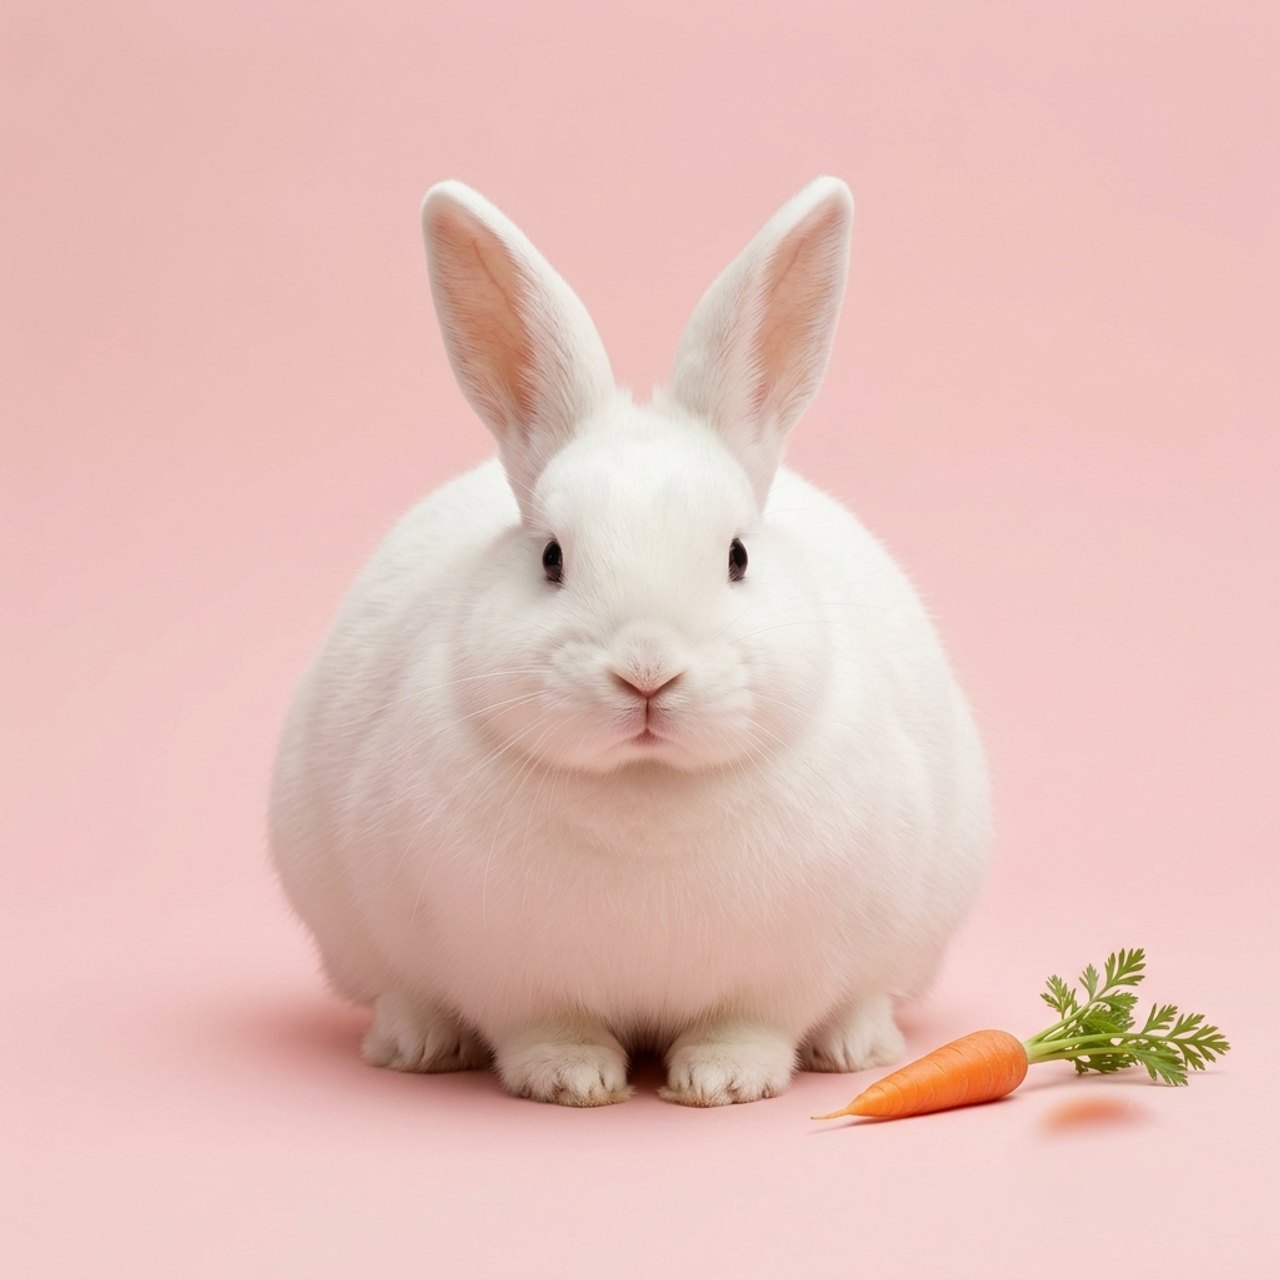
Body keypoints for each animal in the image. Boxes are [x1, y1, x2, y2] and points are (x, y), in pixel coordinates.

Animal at [268, 176, 990, 1108]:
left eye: (737, 556)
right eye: (550, 557)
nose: (647, 674)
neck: (647, 794)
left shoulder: (784, 972)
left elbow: (750, 1023)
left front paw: (723, 1083)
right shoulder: (511, 973)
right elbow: (546, 1027)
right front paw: (572, 1082)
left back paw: (857, 1044)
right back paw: (418, 1043)